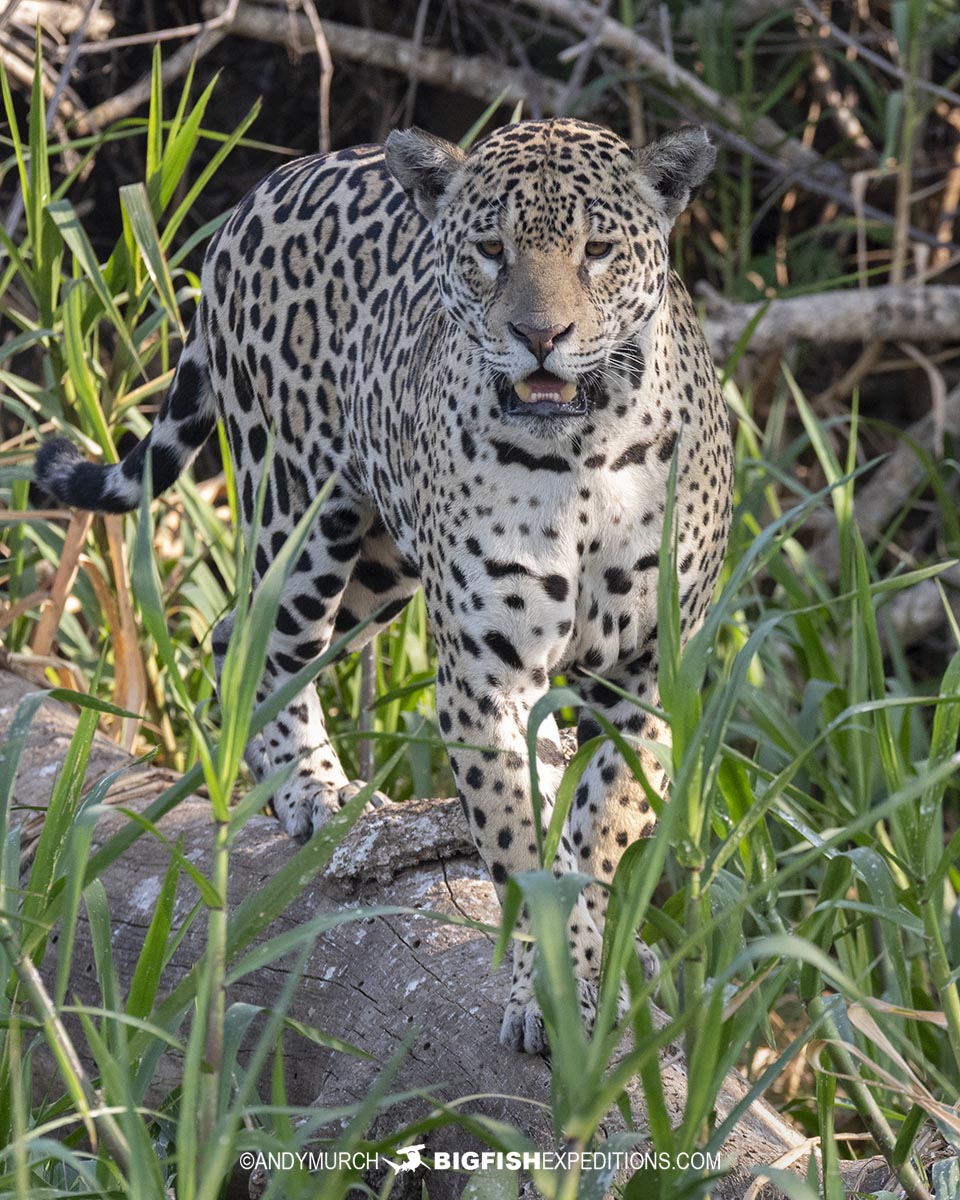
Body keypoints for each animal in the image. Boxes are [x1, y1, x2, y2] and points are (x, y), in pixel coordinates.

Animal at [35, 118, 734, 1054]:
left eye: (597, 251)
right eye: (491, 250)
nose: (540, 336)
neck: (582, 456)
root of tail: (267, 186)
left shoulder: (651, 673)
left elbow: (598, 827)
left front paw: (596, 962)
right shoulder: (485, 676)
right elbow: (519, 846)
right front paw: (549, 984)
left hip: (380, 571)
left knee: (227, 634)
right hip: (298, 513)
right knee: (260, 641)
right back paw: (314, 790)